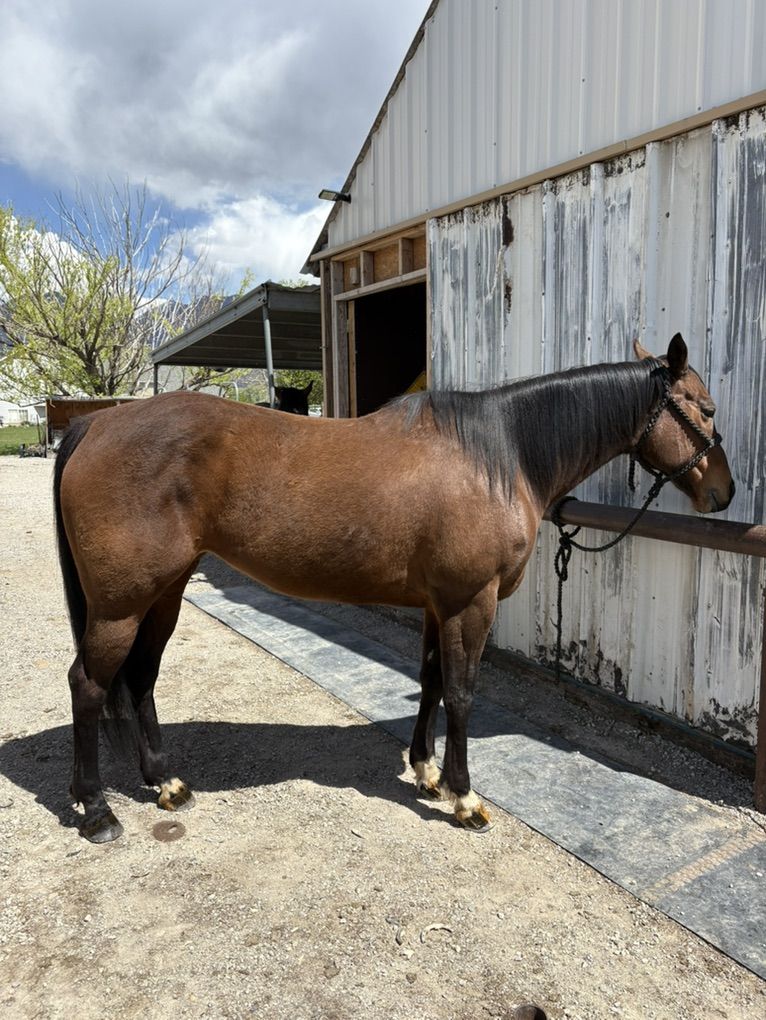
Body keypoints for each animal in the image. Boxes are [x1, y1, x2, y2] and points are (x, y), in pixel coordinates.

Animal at [53, 333, 733, 842]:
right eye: (704, 408)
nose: (724, 492)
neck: (498, 456)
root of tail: (97, 426)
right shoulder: (471, 603)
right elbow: (461, 692)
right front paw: (464, 796)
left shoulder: (439, 605)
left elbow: (430, 680)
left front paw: (426, 769)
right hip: (120, 606)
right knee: (88, 685)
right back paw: (97, 811)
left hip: (163, 594)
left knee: (140, 678)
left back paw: (164, 783)